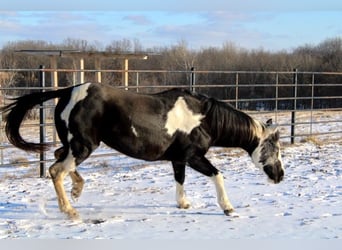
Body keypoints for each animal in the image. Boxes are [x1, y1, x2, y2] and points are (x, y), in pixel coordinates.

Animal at [0, 82, 284, 219]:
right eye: (274, 147)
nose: (280, 176)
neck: (205, 119)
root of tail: (68, 91)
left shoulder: (179, 159)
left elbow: (179, 180)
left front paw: (183, 204)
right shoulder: (194, 157)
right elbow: (217, 175)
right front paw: (228, 208)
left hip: (76, 145)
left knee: (59, 159)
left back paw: (77, 191)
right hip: (83, 146)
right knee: (56, 170)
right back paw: (70, 211)